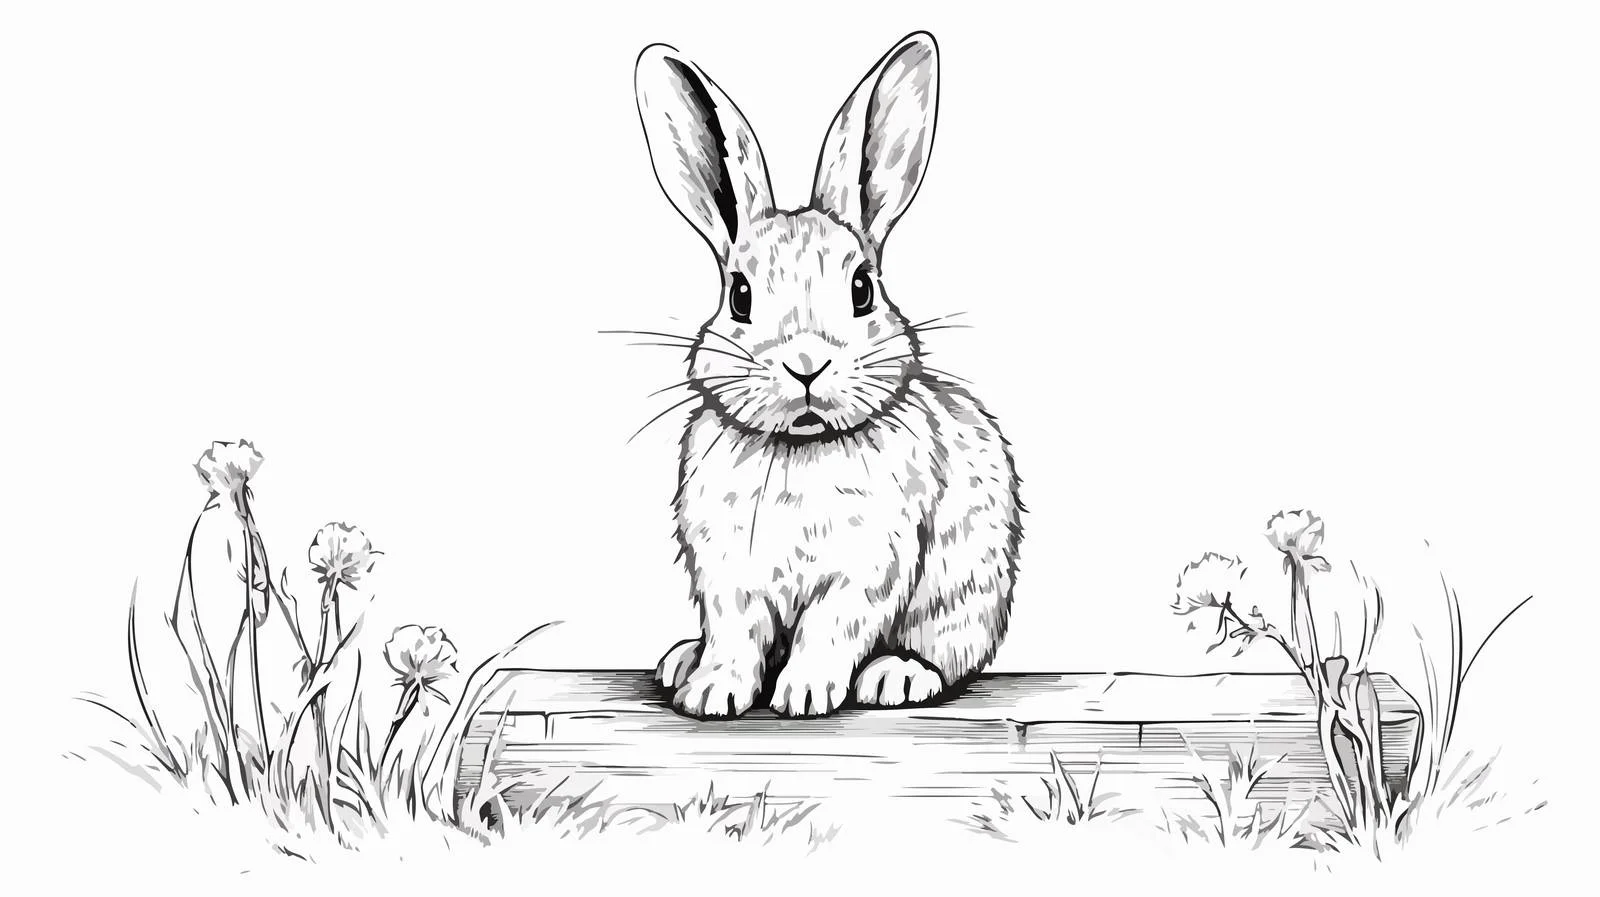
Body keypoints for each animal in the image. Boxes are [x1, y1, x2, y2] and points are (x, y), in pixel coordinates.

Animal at [634, 32, 1022, 718]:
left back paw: (896, 677)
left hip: (965, 604)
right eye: (739, 296)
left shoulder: (865, 569)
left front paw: (807, 694)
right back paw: (681, 663)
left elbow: (831, 627)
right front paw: (712, 693)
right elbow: (735, 635)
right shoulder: (727, 574)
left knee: (947, 658)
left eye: (862, 289)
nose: (806, 365)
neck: (802, 446)